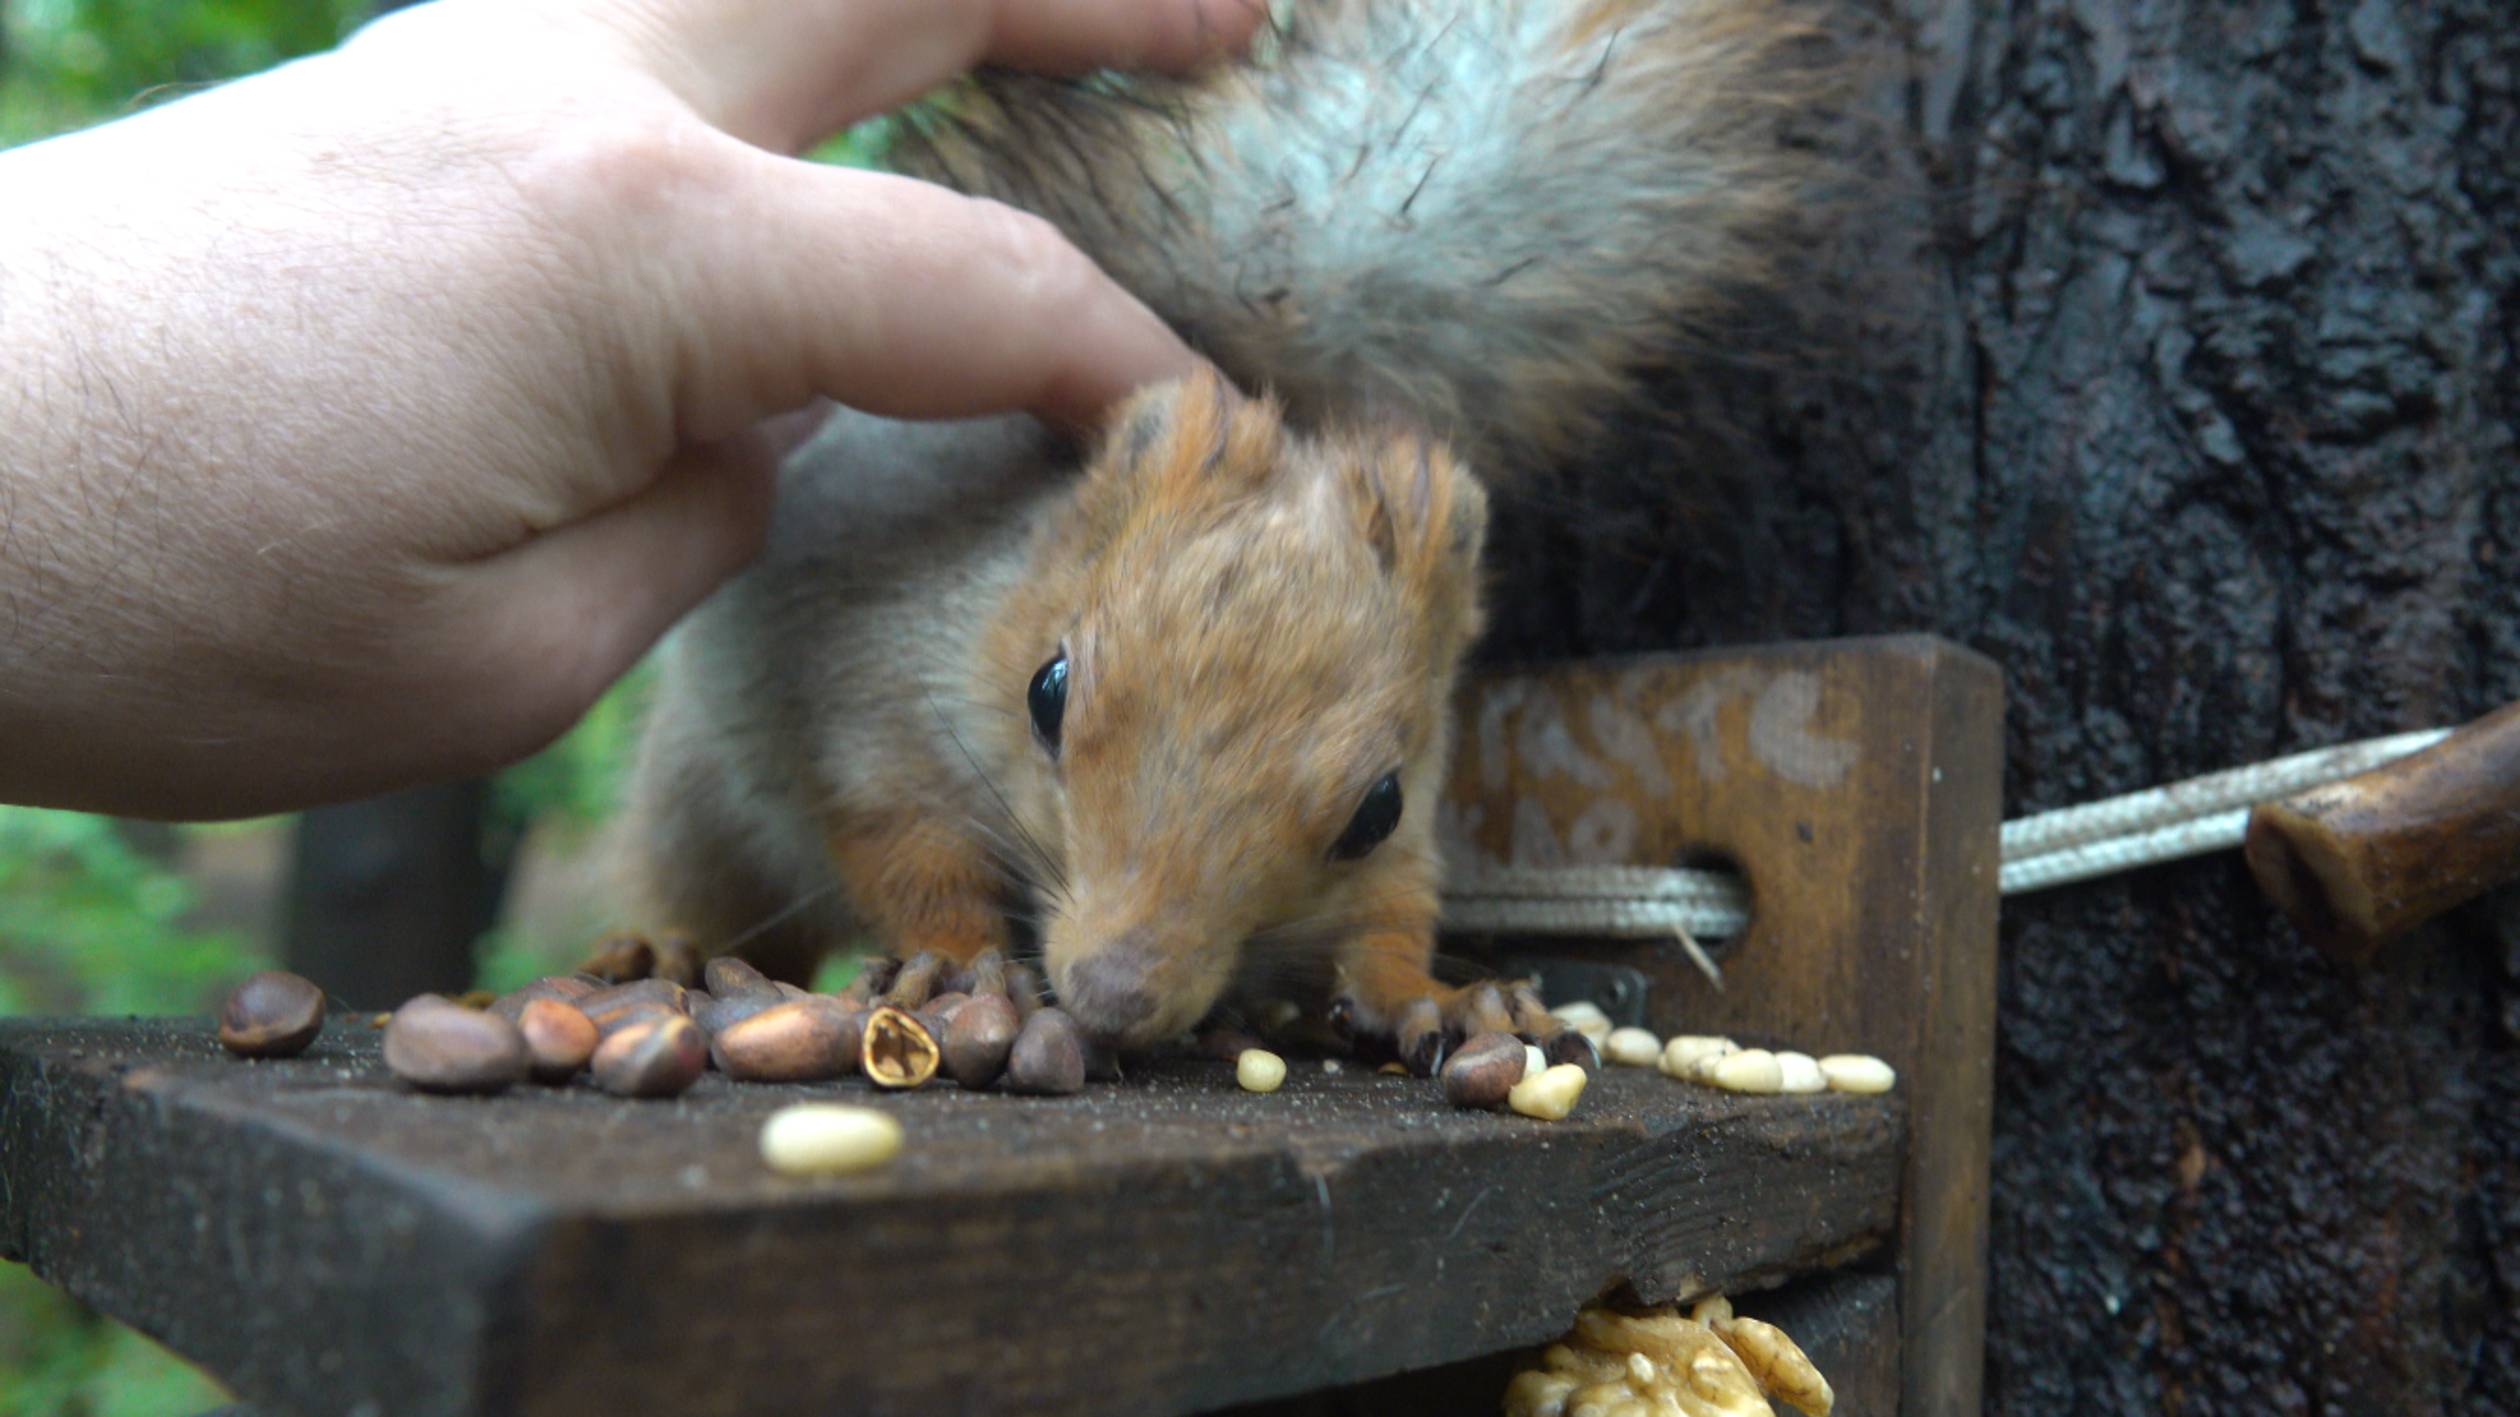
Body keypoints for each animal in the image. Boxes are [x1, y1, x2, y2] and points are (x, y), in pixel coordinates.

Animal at [617, 0, 1824, 1064]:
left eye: (1380, 804)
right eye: (1047, 692)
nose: (1114, 997)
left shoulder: (1399, 848)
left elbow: (1389, 919)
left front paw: (1442, 996)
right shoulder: (877, 710)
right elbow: (913, 856)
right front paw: (959, 962)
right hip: (693, 790)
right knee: (705, 883)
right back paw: (659, 948)